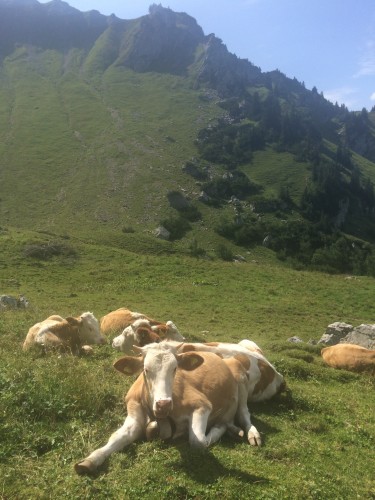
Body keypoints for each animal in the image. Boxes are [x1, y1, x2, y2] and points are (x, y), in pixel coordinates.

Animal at [74, 342, 262, 474]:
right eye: (145, 369)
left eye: (175, 368)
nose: (163, 403)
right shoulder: (134, 412)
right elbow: (118, 437)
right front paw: (91, 459)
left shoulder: (202, 405)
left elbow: (199, 441)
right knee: (229, 421)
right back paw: (234, 430)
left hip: (240, 377)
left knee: (242, 413)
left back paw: (249, 433)